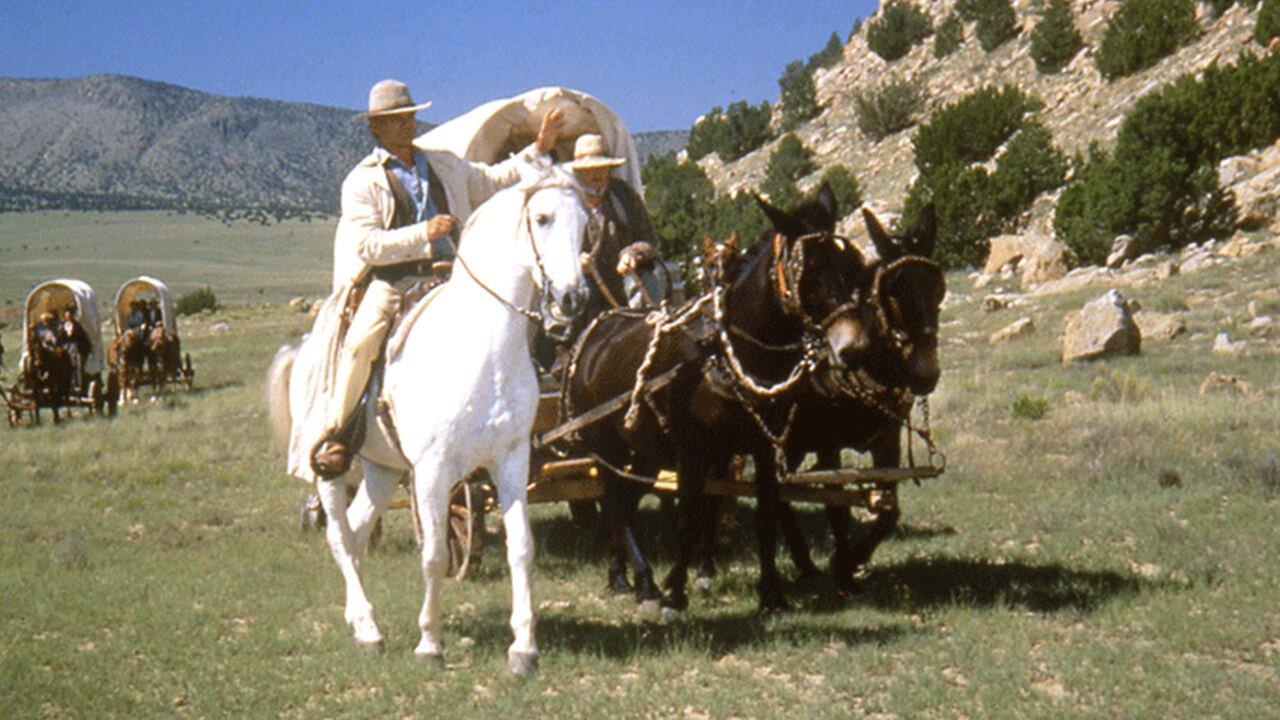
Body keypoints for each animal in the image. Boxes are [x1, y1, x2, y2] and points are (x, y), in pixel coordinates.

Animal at [272, 174, 591, 671]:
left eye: (586, 222)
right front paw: (429, 643)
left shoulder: (511, 461)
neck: (484, 348)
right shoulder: (433, 472)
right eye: (542, 218)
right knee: (340, 536)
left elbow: (521, 548)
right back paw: (368, 628)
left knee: (357, 532)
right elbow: (435, 554)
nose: (573, 299)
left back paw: (361, 622)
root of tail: (302, 350)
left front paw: (523, 647)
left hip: (382, 470)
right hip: (330, 469)